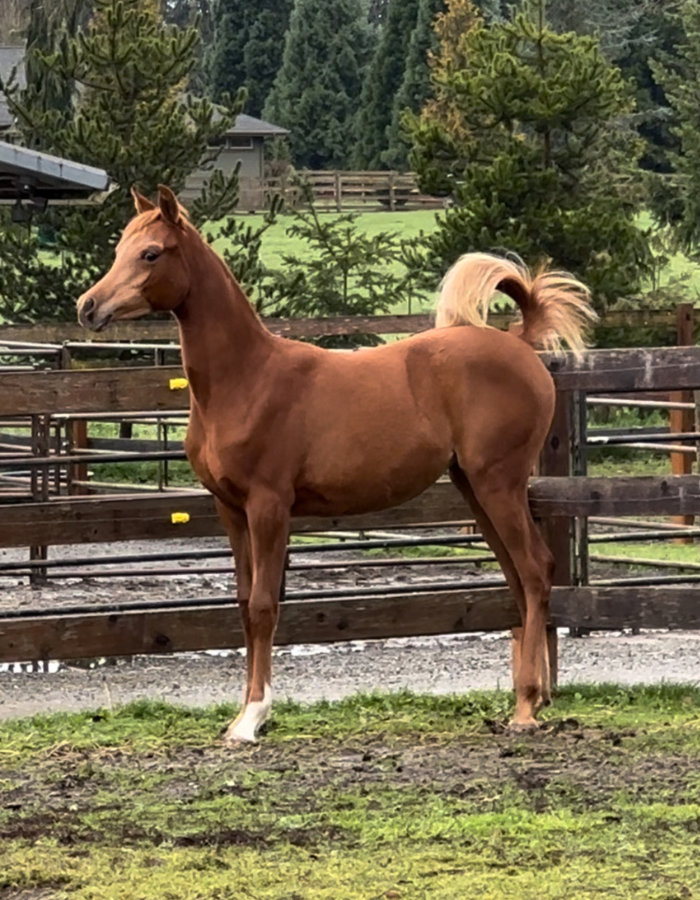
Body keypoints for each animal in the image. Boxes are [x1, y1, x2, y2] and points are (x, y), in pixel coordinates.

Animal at [77, 185, 595, 744]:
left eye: (151, 253)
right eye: (120, 250)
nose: (88, 307)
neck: (247, 380)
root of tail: (519, 343)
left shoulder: (268, 508)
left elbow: (264, 606)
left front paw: (253, 717)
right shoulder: (230, 511)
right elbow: (242, 604)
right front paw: (241, 715)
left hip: (498, 483)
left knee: (536, 570)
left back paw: (525, 707)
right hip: (473, 487)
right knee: (517, 578)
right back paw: (534, 696)